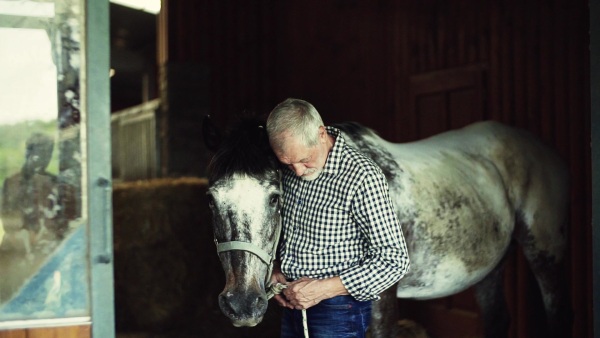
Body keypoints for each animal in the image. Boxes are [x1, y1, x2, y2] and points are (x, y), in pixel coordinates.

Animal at [203, 117, 572, 338]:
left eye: (275, 197)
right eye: (210, 198)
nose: (242, 304)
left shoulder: (381, 303)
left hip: (547, 256)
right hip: (489, 270)